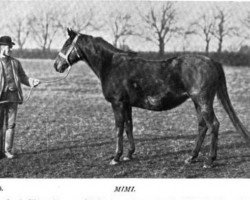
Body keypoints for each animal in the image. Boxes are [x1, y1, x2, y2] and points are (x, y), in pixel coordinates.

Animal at [53, 28, 249, 168]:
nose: (57, 65)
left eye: (66, 44)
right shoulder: (127, 104)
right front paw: (129, 154)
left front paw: (116, 157)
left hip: (203, 101)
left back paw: (209, 161)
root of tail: (211, 61)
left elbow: (118, 129)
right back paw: (191, 157)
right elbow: (129, 127)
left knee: (213, 125)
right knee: (202, 126)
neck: (111, 65)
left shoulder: (117, 104)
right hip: (197, 102)